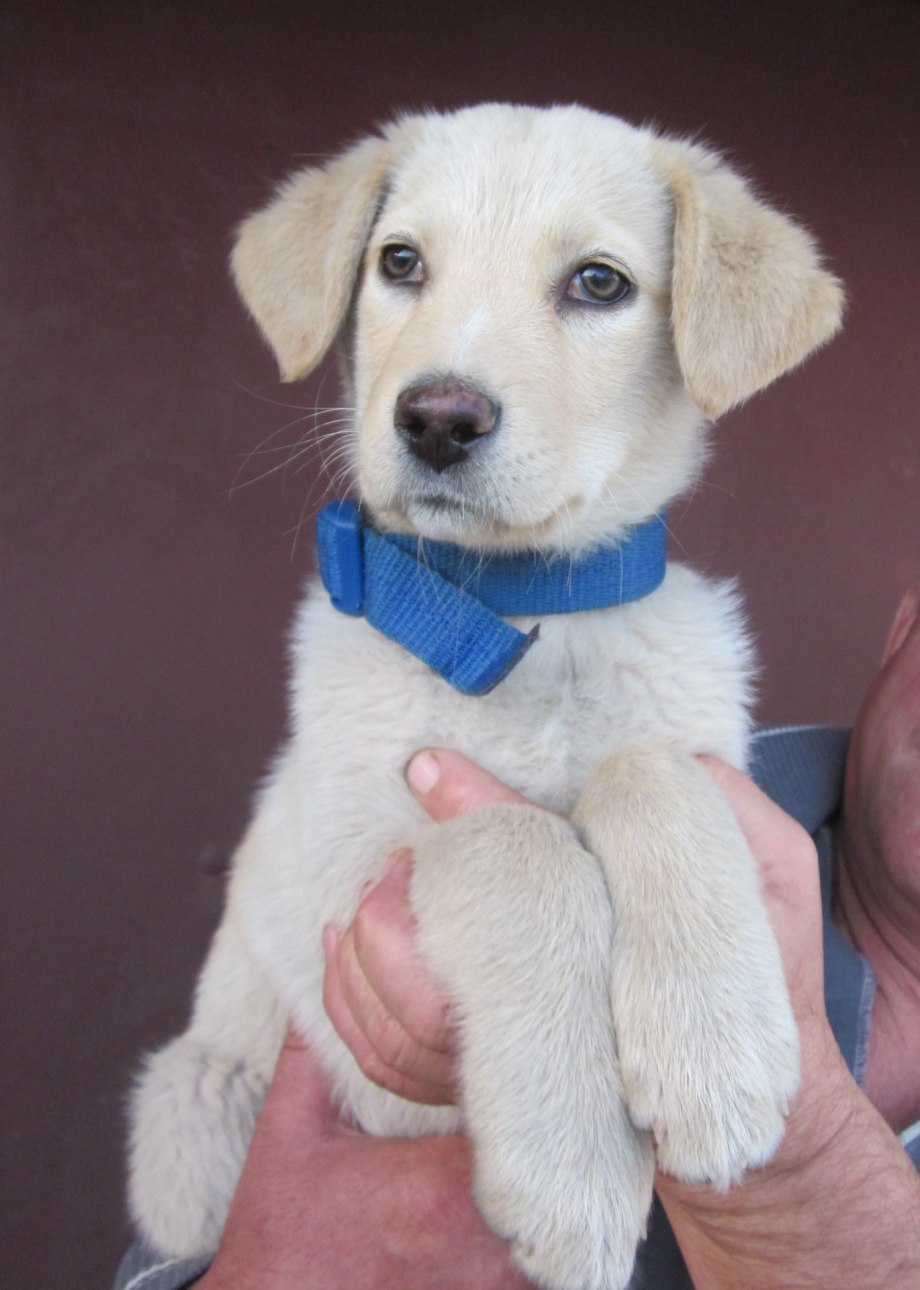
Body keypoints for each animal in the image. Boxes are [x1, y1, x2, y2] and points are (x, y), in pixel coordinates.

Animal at [128, 103, 843, 1290]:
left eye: (598, 283)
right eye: (399, 263)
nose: (437, 418)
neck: (515, 618)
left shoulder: (708, 761)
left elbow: (650, 772)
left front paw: (715, 1055)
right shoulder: (345, 875)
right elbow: (517, 842)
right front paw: (573, 1174)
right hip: (195, 1096)